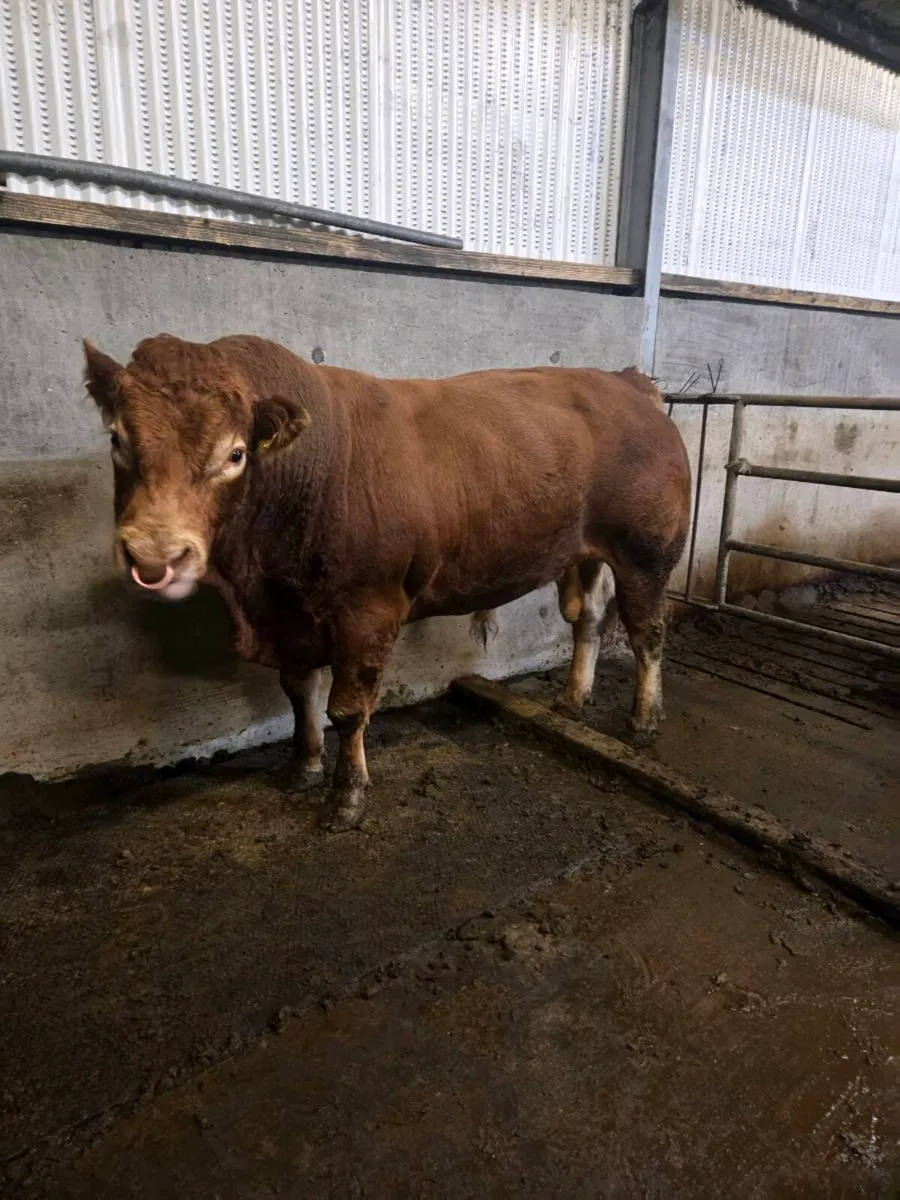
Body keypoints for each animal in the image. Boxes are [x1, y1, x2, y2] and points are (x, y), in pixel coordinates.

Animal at [83, 334, 691, 831]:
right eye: (117, 440)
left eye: (234, 453)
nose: (155, 554)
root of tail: (625, 382)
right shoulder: (291, 616)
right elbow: (299, 692)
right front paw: (302, 766)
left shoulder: (366, 609)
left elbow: (347, 709)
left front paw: (346, 798)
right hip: (584, 552)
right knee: (587, 618)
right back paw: (573, 697)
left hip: (647, 552)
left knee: (648, 631)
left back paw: (642, 720)